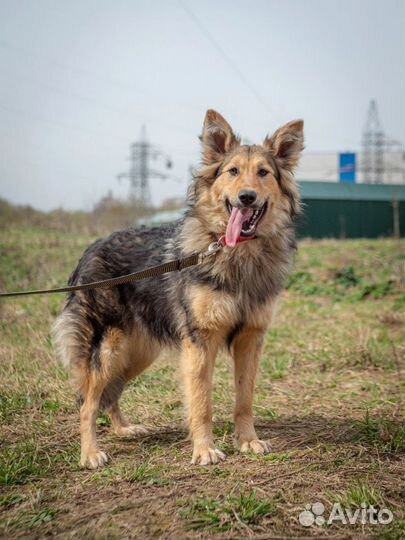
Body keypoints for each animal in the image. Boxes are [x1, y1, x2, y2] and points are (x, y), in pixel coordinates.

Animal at [51, 110, 304, 468]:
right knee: (88, 401)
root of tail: (93, 247)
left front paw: (247, 441)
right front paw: (204, 449)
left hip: (139, 353)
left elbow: (244, 399)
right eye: (233, 171)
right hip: (110, 348)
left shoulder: (250, 340)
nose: (246, 197)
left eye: (263, 173)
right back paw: (90, 453)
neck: (237, 255)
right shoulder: (200, 342)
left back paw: (123, 429)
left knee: (108, 394)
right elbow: (202, 404)